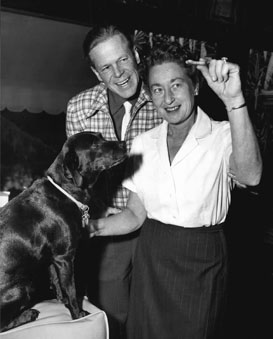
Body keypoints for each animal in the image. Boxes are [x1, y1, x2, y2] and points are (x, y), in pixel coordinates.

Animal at [0, 131, 125, 334]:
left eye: (101, 136)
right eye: (94, 144)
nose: (124, 143)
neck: (65, 190)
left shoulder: (53, 258)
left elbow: (59, 284)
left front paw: (62, 301)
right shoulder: (65, 257)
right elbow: (71, 289)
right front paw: (78, 315)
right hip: (24, 286)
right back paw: (28, 314)